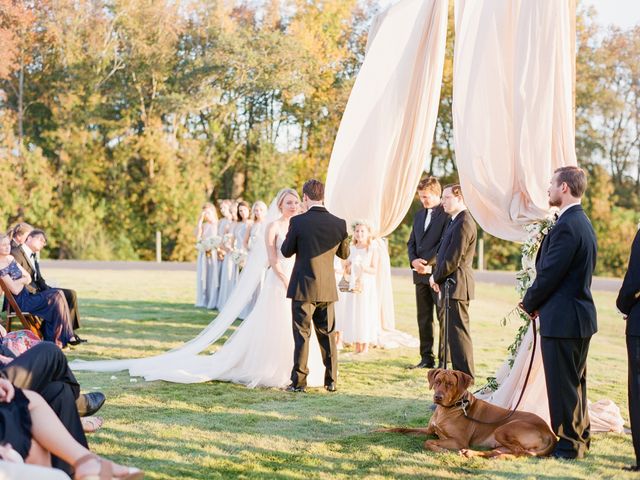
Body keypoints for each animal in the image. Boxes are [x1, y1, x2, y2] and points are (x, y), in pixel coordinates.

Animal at [382, 370, 556, 460]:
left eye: (450, 384)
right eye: (437, 381)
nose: (438, 397)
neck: (448, 408)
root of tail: (550, 432)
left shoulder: (459, 441)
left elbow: (428, 442)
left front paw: (441, 450)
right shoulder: (430, 430)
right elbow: (401, 428)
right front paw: (381, 430)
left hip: (504, 429)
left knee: (519, 452)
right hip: (499, 442)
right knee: (502, 451)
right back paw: (472, 453)